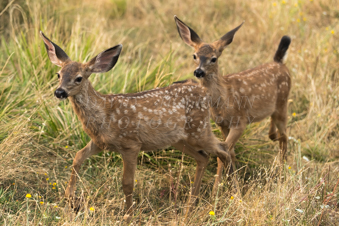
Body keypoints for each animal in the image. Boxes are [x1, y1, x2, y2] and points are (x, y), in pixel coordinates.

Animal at [39, 30, 234, 222]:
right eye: (58, 74)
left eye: (79, 78)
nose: (59, 92)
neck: (104, 114)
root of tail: (205, 92)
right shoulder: (100, 143)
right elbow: (78, 157)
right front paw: (71, 199)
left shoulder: (130, 144)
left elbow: (127, 183)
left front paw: (128, 216)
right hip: (179, 139)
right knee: (204, 157)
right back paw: (190, 207)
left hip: (199, 129)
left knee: (224, 149)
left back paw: (227, 194)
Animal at [175, 15, 292, 193]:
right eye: (194, 55)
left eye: (214, 58)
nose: (199, 71)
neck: (222, 98)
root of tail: (280, 63)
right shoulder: (222, 124)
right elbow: (229, 153)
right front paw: (226, 184)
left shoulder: (239, 122)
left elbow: (224, 152)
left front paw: (218, 190)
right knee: (277, 131)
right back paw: (273, 137)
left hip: (283, 102)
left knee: (285, 135)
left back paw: (282, 169)